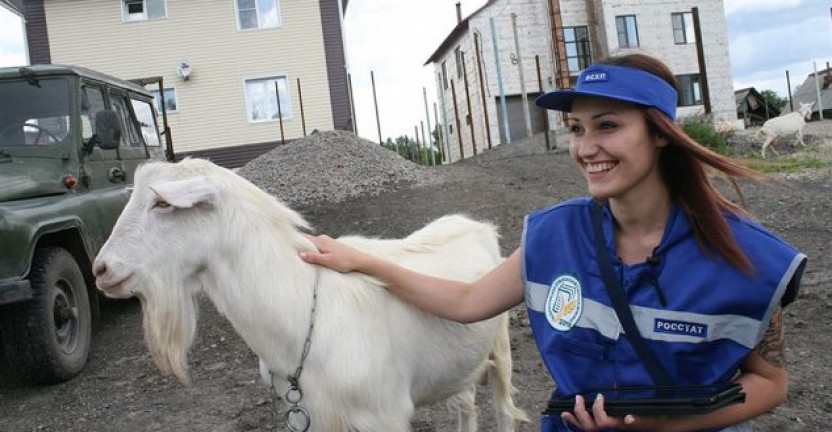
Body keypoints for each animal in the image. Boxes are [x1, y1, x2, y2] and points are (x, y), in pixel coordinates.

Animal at [91, 159, 528, 432]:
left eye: (162, 202)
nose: (101, 270)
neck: (303, 313)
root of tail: (476, 225)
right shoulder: (310, 413)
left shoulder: (386, 415)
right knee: (466, 403)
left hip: (501, 346)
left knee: (503, 409)